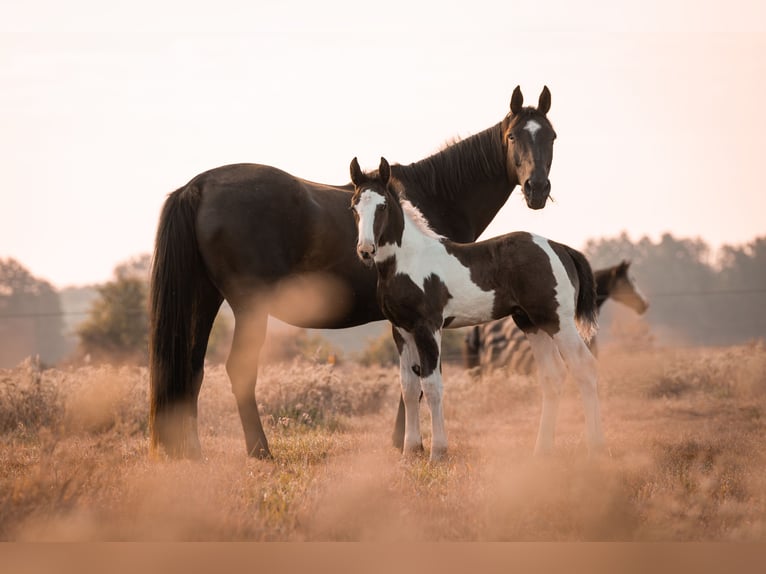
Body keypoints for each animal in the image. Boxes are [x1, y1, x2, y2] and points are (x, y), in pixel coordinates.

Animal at [150, 85, 560, 462]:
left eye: (551, 136)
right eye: (513, 136)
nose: (537, 189)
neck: (434, 198)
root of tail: (198, 187)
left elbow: (412, 379)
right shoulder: (423, 319)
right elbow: (418, 379)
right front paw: (408, 444)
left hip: (205, 299)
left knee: (192, 370)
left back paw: (192, 452)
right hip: (249, 308)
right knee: (239, 370)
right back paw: (260, 450)